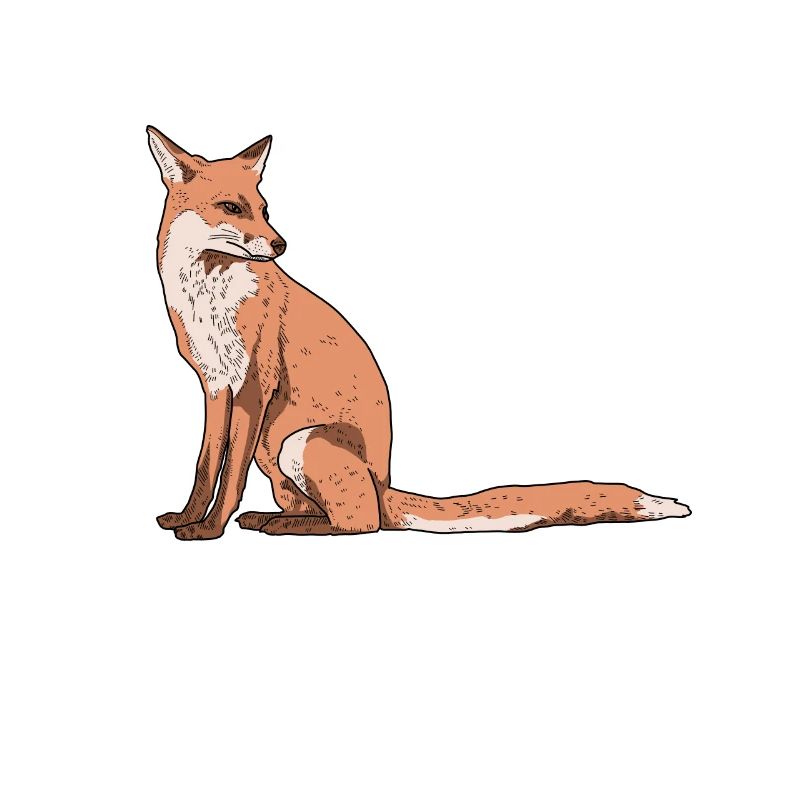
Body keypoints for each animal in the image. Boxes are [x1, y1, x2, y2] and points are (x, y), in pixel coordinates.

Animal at [147, 126, 691, 540]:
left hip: (297, 442)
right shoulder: (216, 388)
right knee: (342, 514)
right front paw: (187, 518)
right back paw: (272, 517)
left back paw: (283, 526)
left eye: (264, 208)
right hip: (276, 454)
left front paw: (209, 530)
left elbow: (228, 477)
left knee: (361, 522)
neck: (206, 296)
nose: (281, 244)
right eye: (230, 208)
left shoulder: (254, 387)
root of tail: (387, 483)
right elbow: (205, 468)